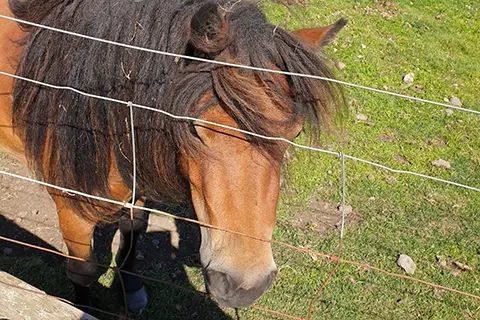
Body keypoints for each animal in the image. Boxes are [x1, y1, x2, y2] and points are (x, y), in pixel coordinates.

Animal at [0, 0, 344, 312]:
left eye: (294, 135)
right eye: (194, 128)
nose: (244, 285)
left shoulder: (135, 186)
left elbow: (133, 232)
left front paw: (132, 291)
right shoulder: (71, 207)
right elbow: (83, 272)